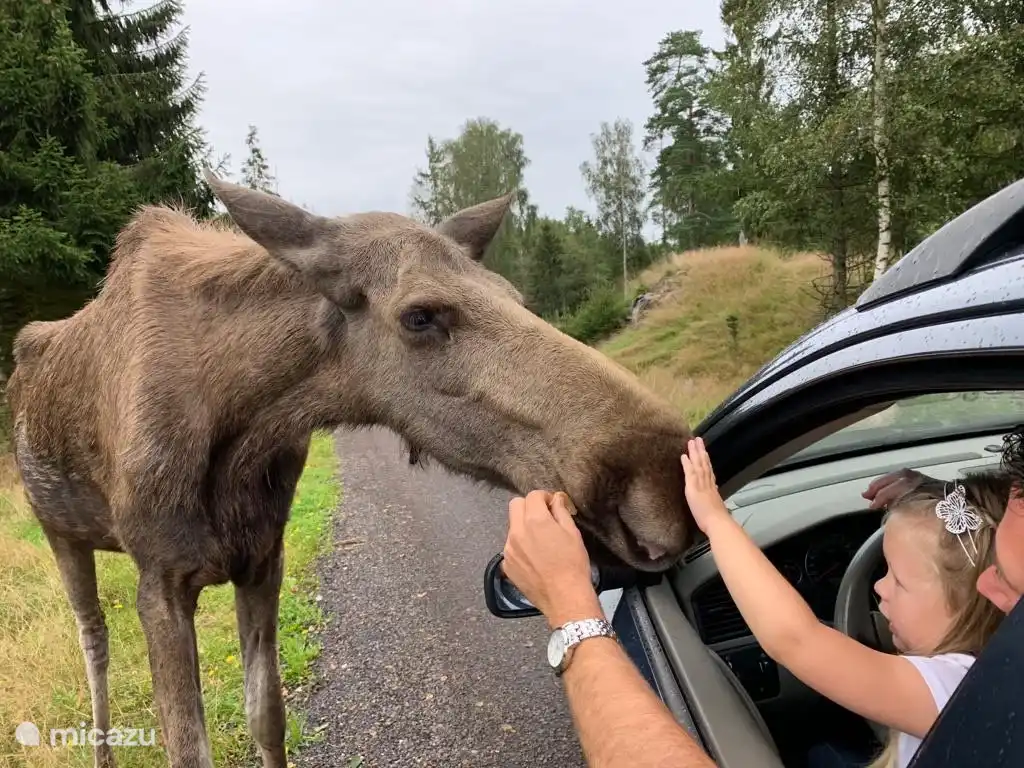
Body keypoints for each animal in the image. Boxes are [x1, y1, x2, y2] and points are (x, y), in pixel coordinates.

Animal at [4, 170, 695, 768]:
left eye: (515, 297)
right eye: (420, 314)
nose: (664, 473)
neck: (241, 429)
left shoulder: (262, 557)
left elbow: (267, 717)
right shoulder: (161, 580)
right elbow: (187, 747)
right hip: (61, 533)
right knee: (93, 639)